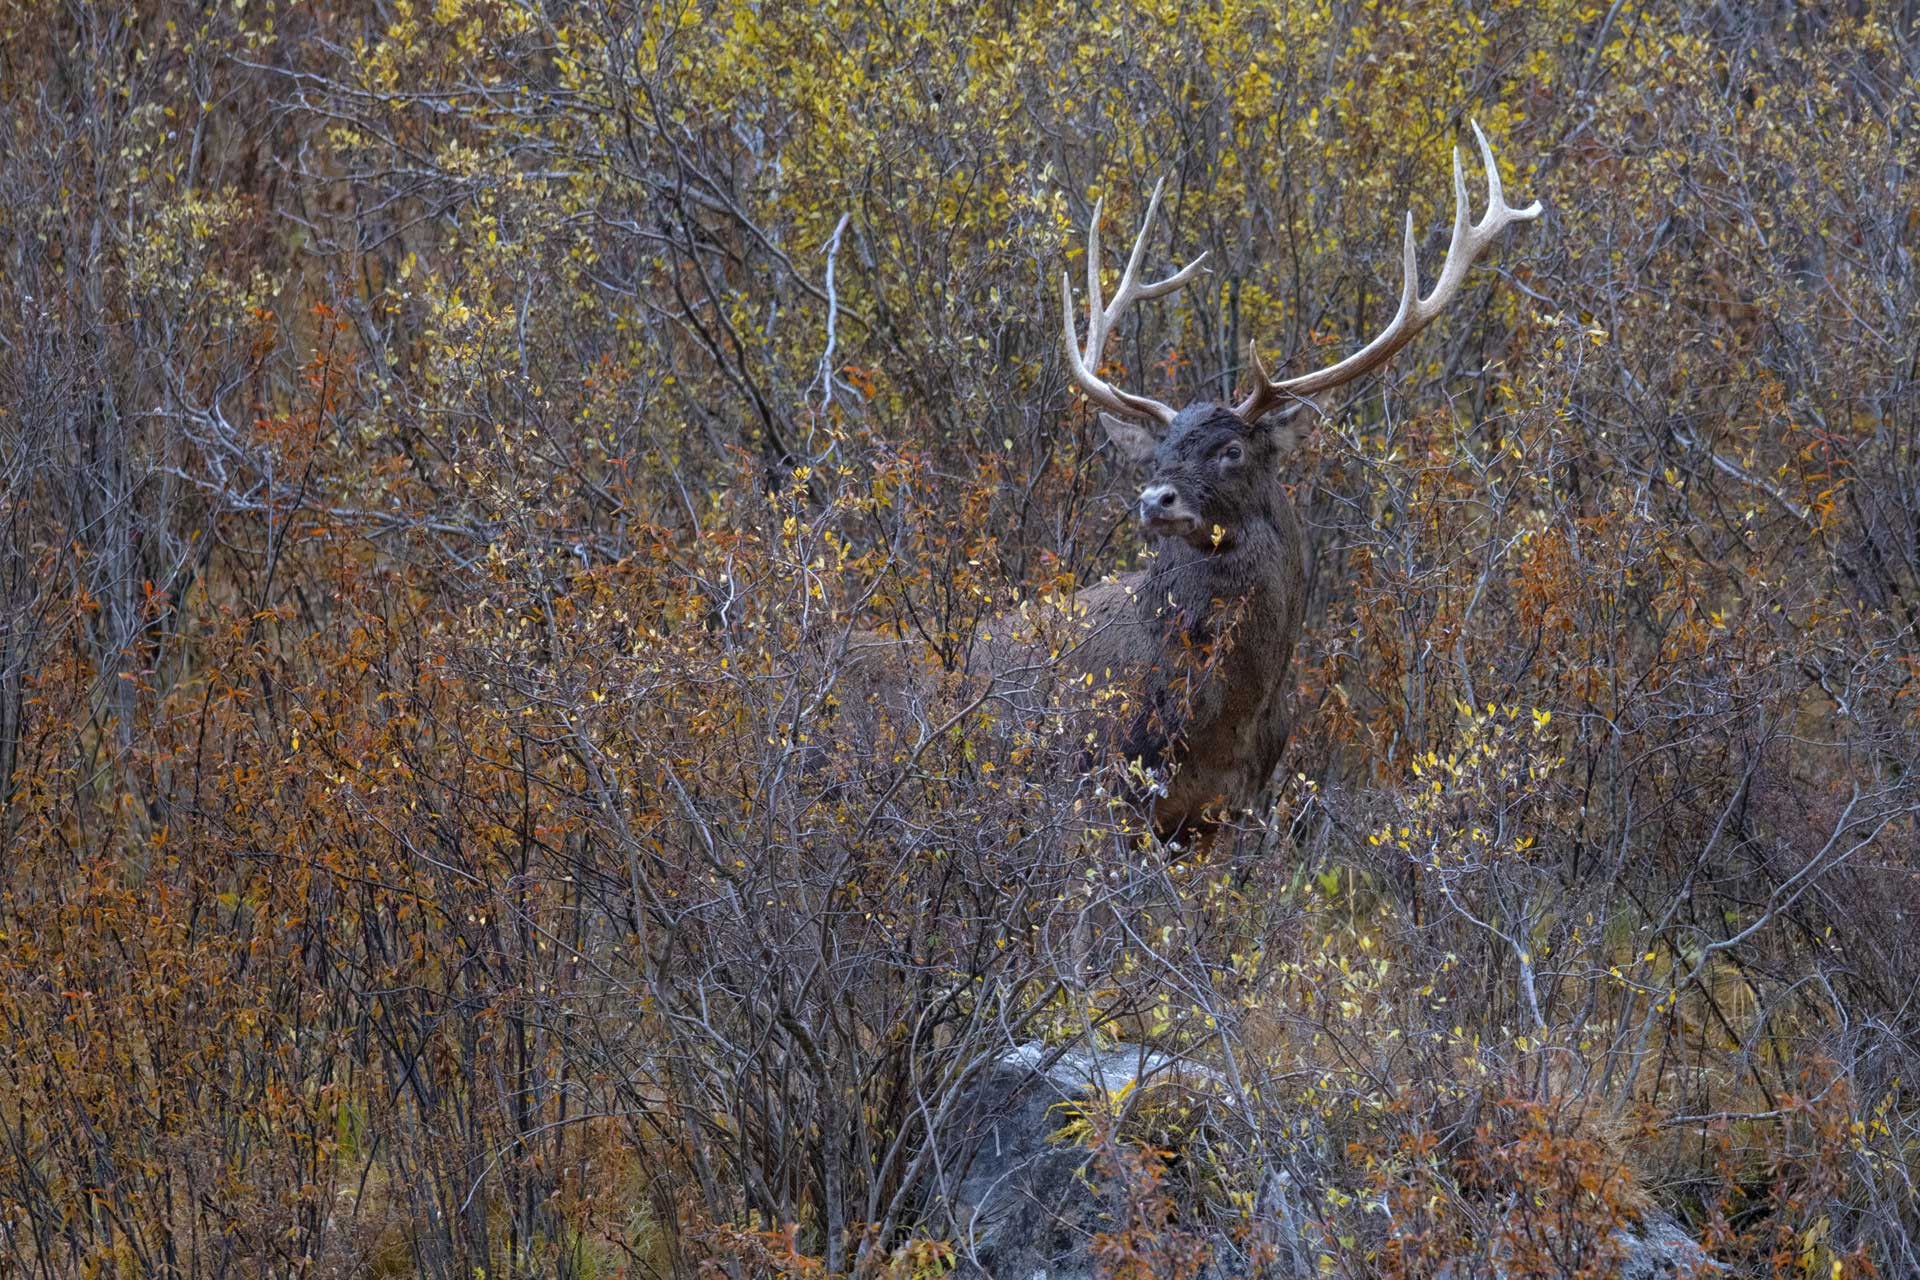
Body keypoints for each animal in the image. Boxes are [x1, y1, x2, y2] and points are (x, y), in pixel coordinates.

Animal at [865, 124, 1541, 844]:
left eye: (1232, 449)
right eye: (1157, 455)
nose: (1154, 500)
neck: (1224, 718)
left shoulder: (1226, 810)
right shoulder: (1091, 786)